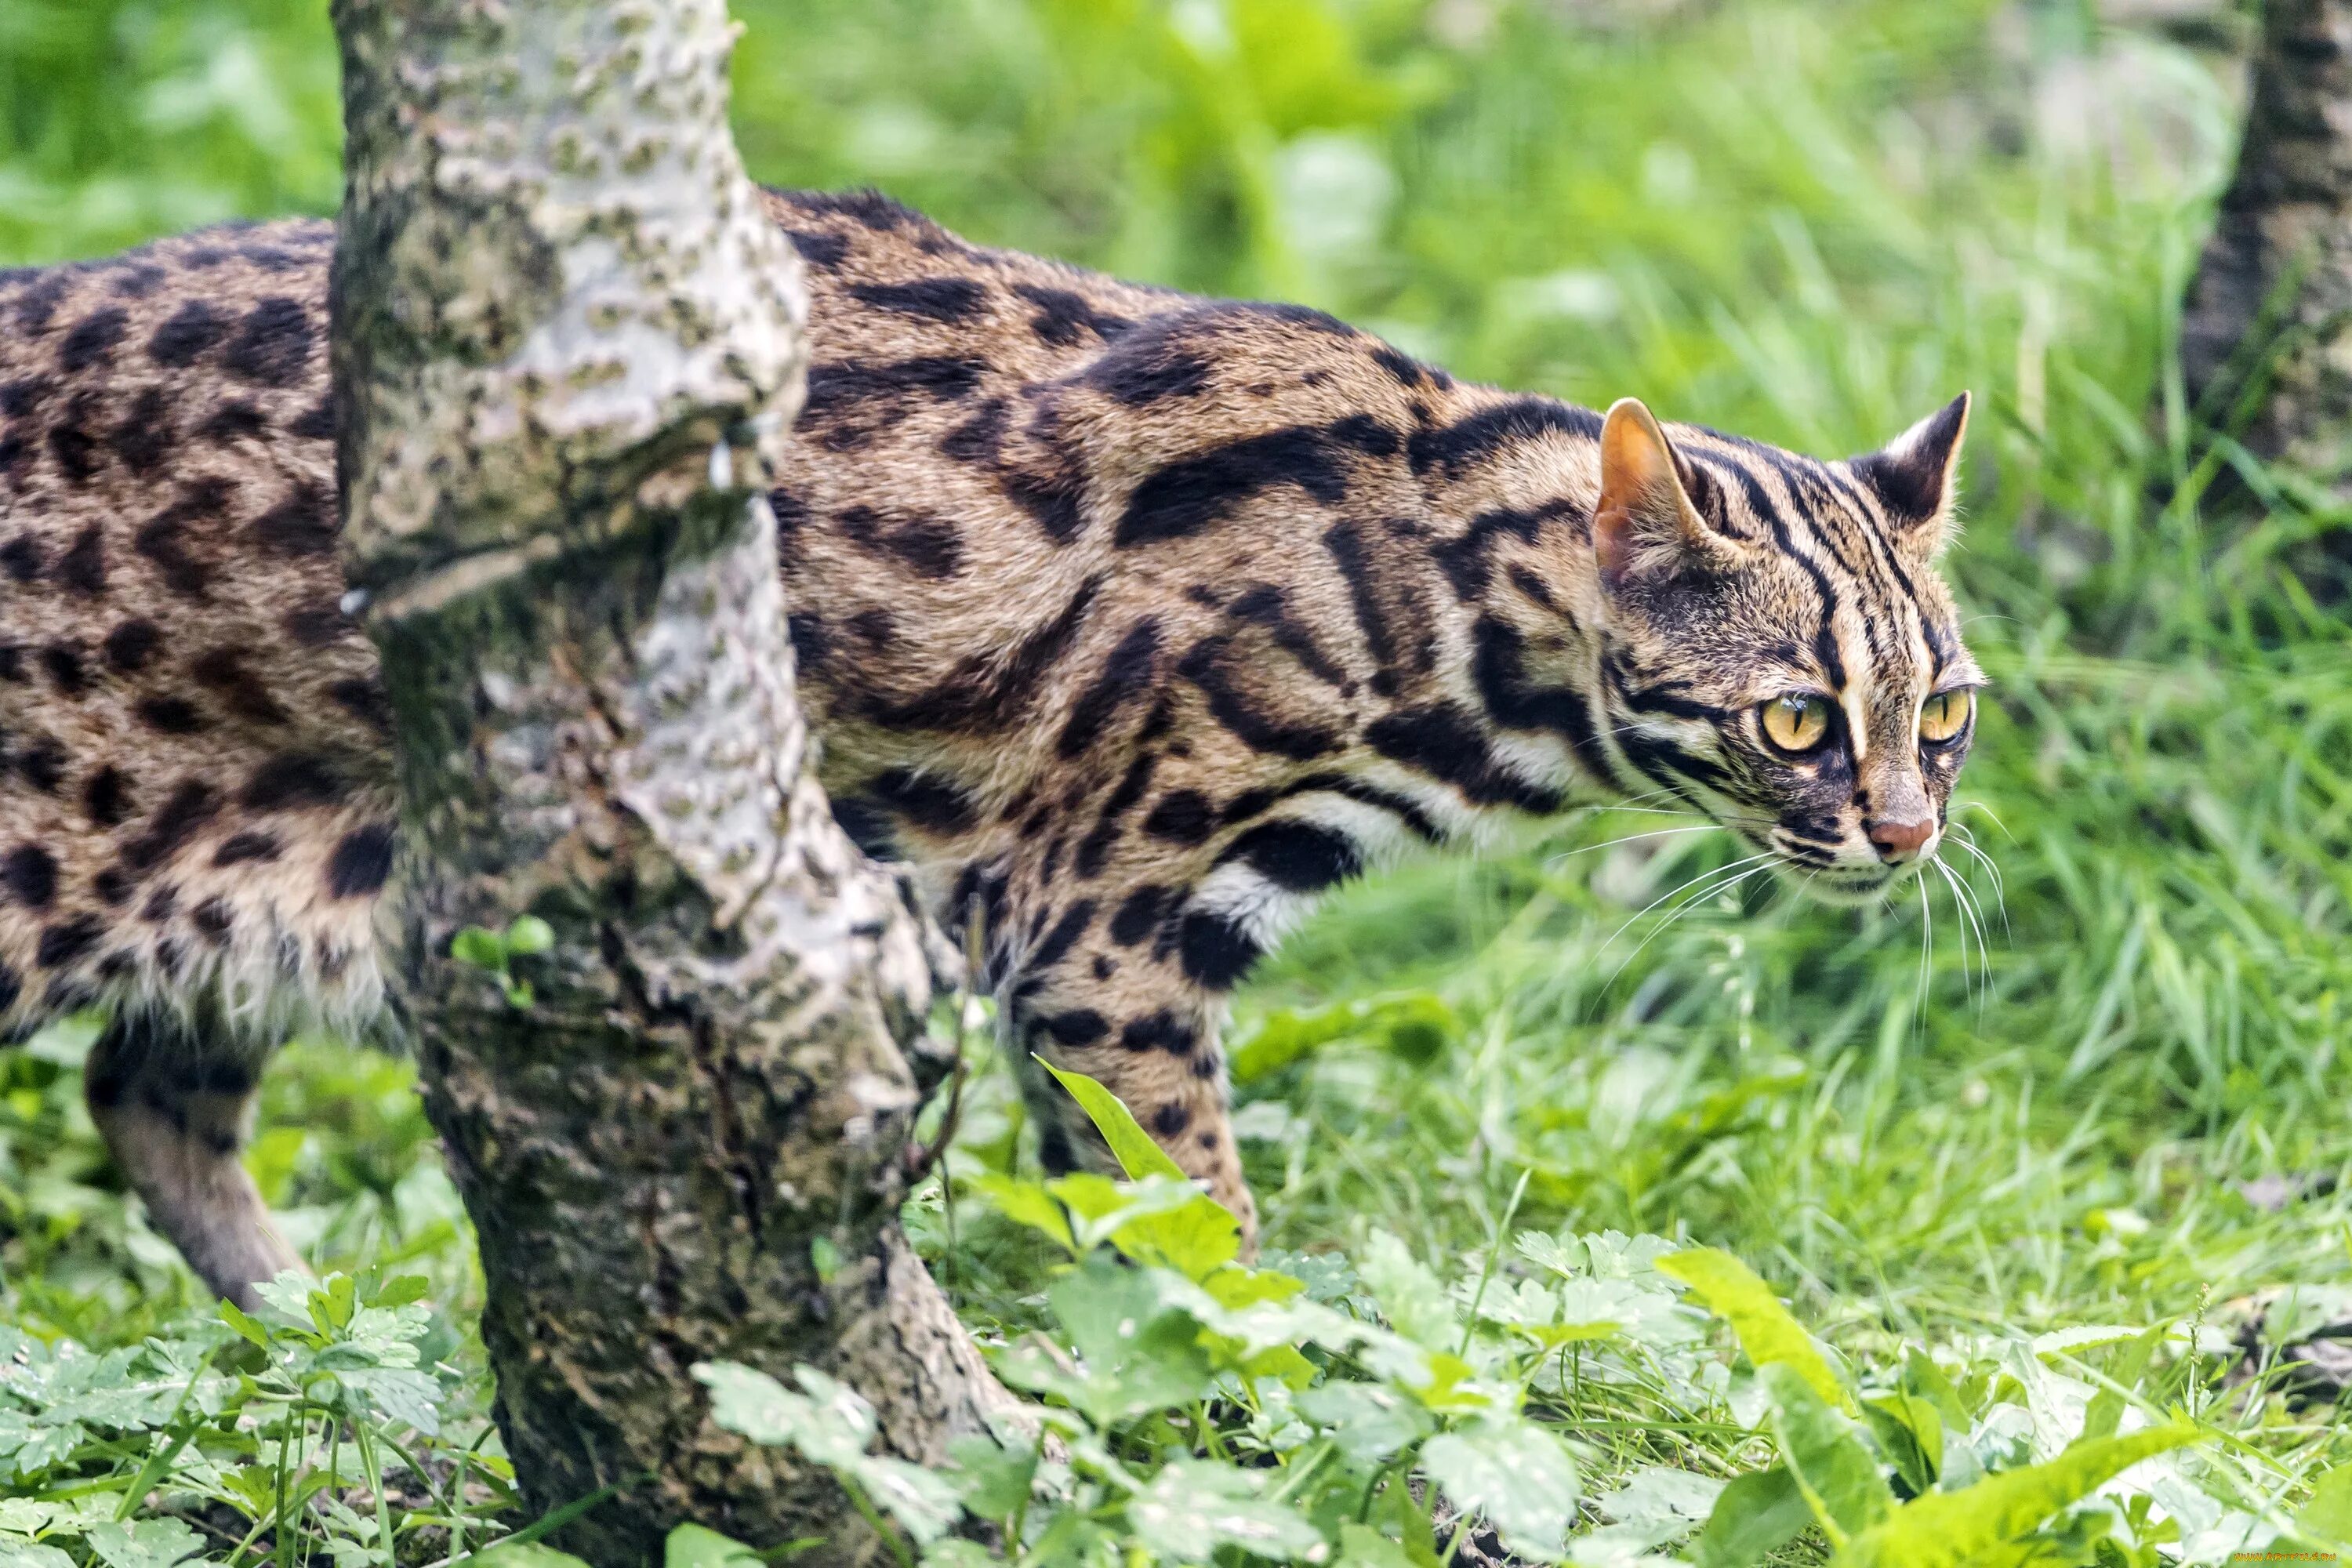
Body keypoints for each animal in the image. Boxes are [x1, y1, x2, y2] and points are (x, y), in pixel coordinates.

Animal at [0, 187, 1985, 1316]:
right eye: (1794, 716)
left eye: (1945, 712)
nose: (1902, 836)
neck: (1444, 596)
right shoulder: (1101, 921)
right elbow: (1191, 1197)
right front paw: (1252, 1361)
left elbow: (1099, 1199)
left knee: (144, 1095)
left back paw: (309, 1325)